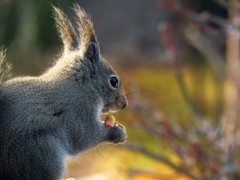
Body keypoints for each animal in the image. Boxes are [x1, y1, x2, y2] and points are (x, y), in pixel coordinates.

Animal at [0, 4, 127, 180]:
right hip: (43, 154)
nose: (124, 104)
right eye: (113, 81)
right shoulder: (78, 111)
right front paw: (117, 133)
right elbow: (84, 136)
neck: (80, 85)